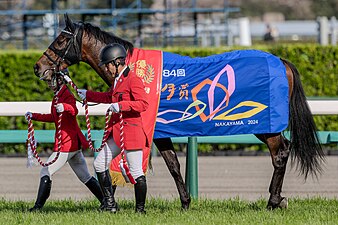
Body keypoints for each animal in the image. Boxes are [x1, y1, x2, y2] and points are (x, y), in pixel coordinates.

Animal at [33, 14, 324, 210]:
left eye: (61, 39)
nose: (38, 67)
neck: (131, 69)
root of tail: (281, 61)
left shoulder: (156, 131)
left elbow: (168, 165)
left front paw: (111, 203)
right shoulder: (160, 132)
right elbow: (171, 164)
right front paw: (184, 202)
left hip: (264, 125)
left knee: (281, 153)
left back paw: (273, 200)